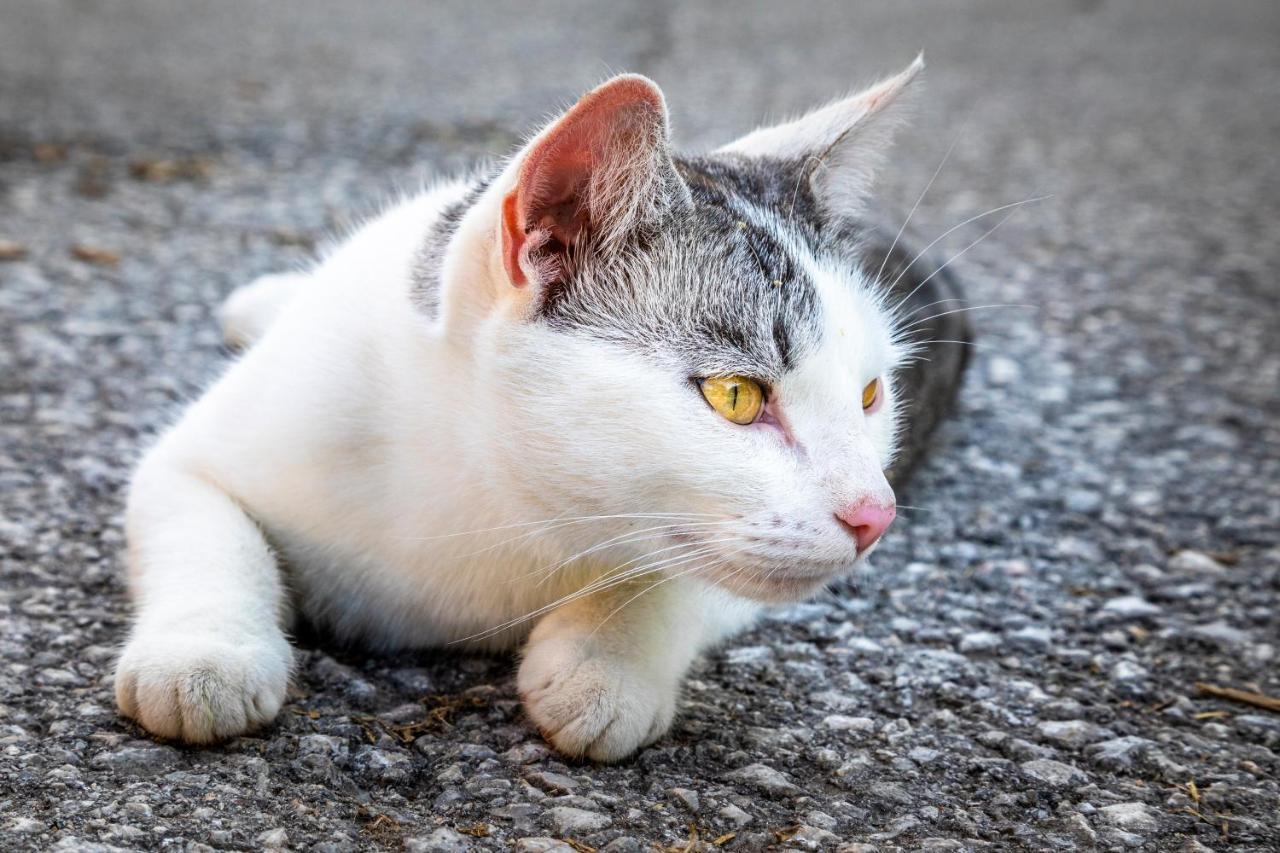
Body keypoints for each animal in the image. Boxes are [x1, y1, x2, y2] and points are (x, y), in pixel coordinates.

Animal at [115, 61, 967, 763]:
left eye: (870, 395)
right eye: (736, 394)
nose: (875, 515)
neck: (491, 499)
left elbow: (687, 577)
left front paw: (604, 665)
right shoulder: (209, 449)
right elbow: (205, 525)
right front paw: (204, 655)